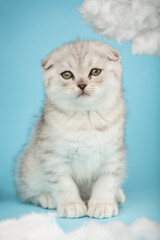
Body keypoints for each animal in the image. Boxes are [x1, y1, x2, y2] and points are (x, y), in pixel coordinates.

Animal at [16, 40, 126, 218]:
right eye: (67, 75)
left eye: (95, 71)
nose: (82, 85)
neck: (86, 117)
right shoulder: (53, 157)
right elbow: (64, 184)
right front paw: (72, 205)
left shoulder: (113, 155)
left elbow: (106, 182)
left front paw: (102, 204)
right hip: (29, 166)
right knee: (28, 192)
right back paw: (47, 198)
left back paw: (117, 194)